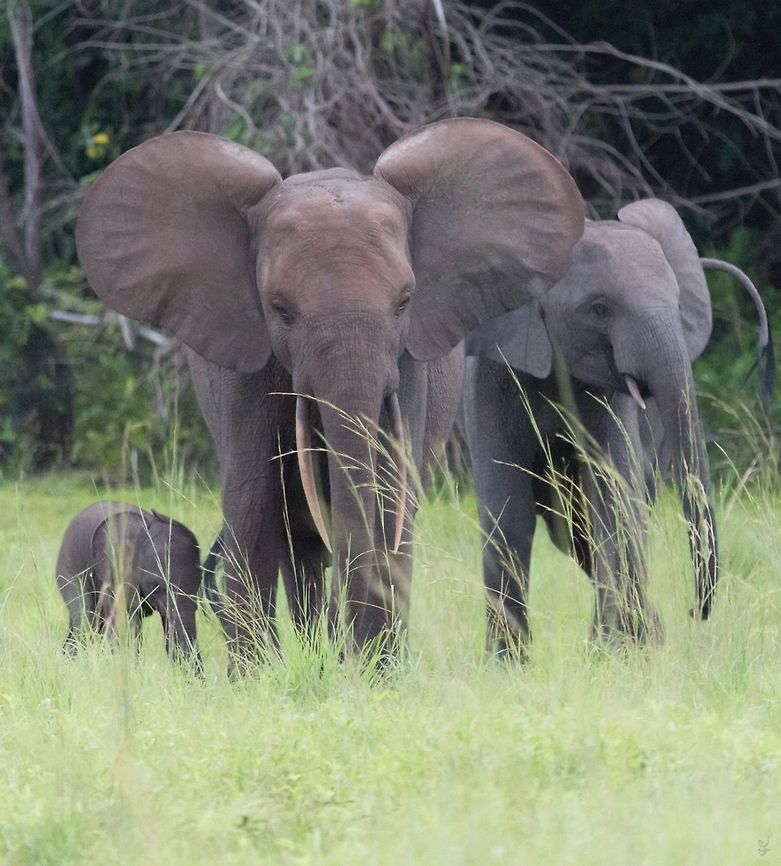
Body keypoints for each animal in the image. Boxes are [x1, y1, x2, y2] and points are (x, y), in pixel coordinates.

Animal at [56, 501, 202, 668]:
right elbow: (124, 625)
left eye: (199, 584)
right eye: (155, 586)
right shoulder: (114, 570)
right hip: (68, 569)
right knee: (84, 620)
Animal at [75, 118, 585, 667]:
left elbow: (387, 496)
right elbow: (253, 501)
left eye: (405, 302)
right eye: (280, 309)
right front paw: (258, 676)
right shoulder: (244, 370)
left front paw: (374, 671)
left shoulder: (407, 365)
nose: (356, 659)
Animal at [464, 198, 770, 657]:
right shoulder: (491, 377)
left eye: (678, 304)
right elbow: (507, 511)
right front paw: (508, 664)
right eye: (600, 309)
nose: (694, 612)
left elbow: (615, 499)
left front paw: (616, 657)